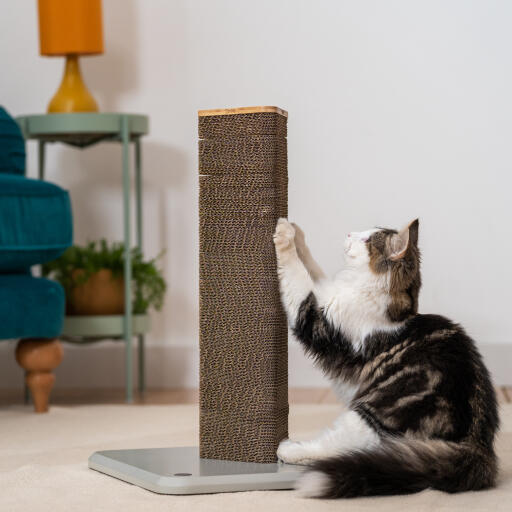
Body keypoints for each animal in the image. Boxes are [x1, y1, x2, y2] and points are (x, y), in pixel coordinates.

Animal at [274, 218, 498, 498]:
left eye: (366, 240)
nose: (349, 233)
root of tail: (478, 445)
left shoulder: (316, 318)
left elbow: (297, 276)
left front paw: (284, 234)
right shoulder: (326, 293)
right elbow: (312, 267)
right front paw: (297, 232)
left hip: (370, 416)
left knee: (336, 448)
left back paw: (290, 449)